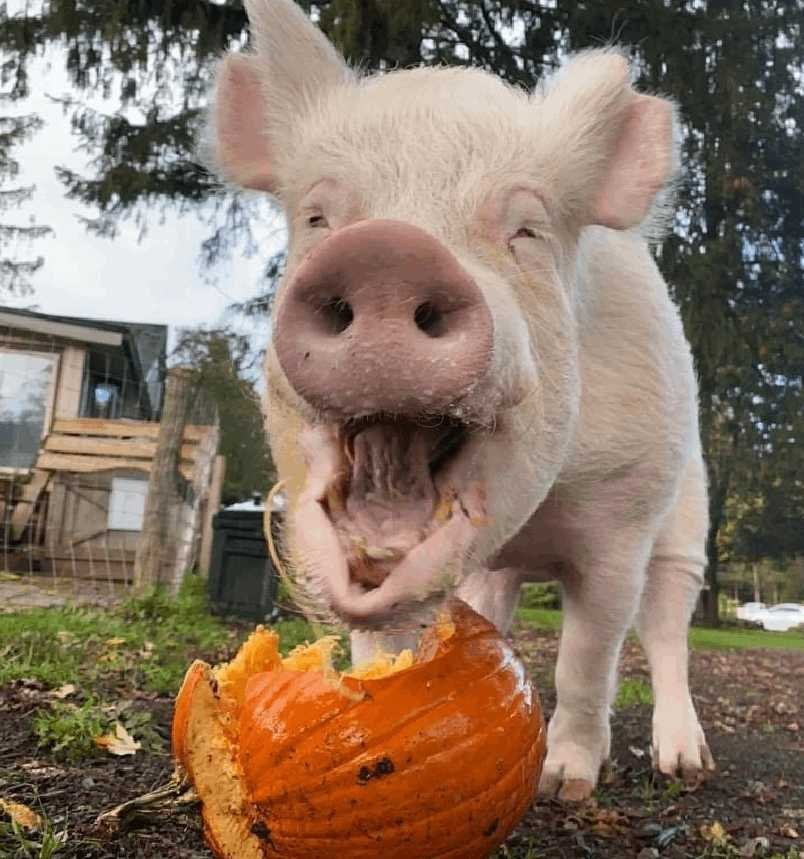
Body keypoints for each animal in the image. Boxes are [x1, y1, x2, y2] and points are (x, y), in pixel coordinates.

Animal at [205, 0, 716, 801]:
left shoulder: (621, 518)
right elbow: (383, 639)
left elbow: (590, 655)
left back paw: (685, 764)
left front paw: (564, 783)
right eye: (317, 217)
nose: (387, 251)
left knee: (666, 626)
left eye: (527, 229)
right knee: (495, 601)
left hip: (685, 516)